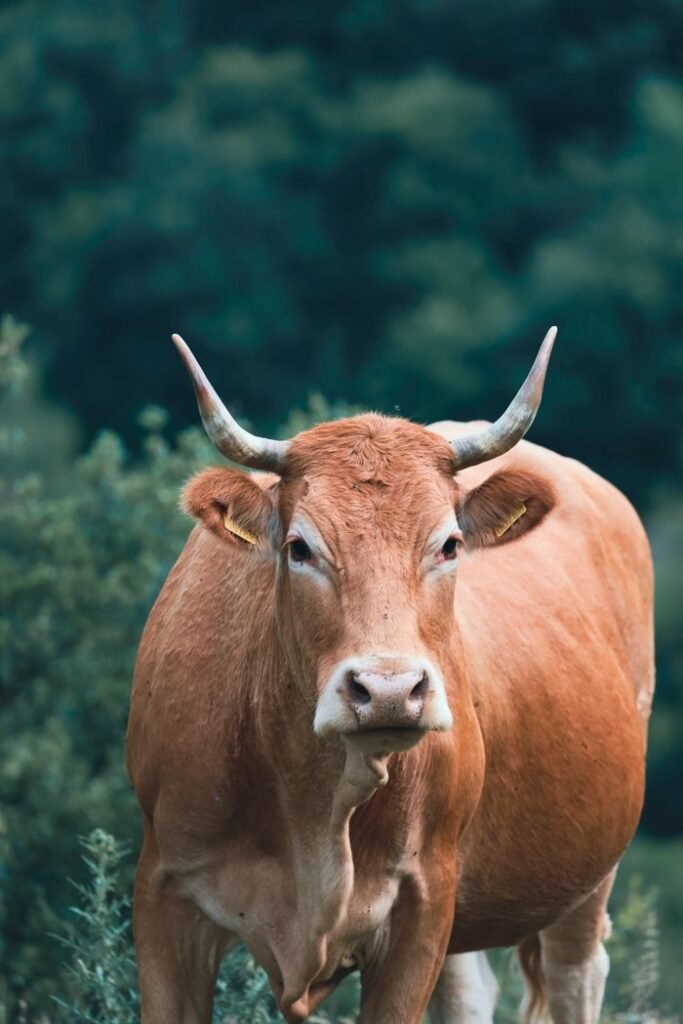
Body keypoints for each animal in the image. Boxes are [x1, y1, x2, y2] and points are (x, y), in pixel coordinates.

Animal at [127, 327, 653, 1024]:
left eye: (449, 544)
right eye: (300, 547)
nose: (388, 691)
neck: (314, 811)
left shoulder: (421, 907)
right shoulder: (163, 894)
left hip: (587, 875)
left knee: (577, 974)